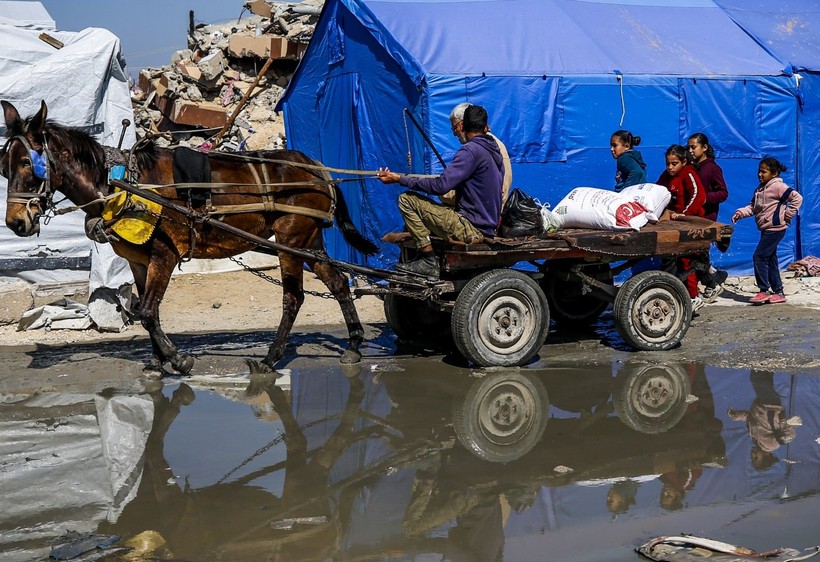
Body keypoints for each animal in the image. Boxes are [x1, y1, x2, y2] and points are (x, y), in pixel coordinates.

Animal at [1, 99, 380, 374]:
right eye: (5, 167)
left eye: (26, 163)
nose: (16, 223)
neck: (122, 185)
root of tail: (317, 167)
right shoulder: (139, 260)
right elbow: (145, 310)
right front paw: (157, 362)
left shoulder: (165, 255)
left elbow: (148, 311)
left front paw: (178, 359)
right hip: (309, 241)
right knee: (338, 283)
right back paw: (354, 344)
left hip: (290, 241)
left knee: (293, 298)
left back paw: (271, 358)